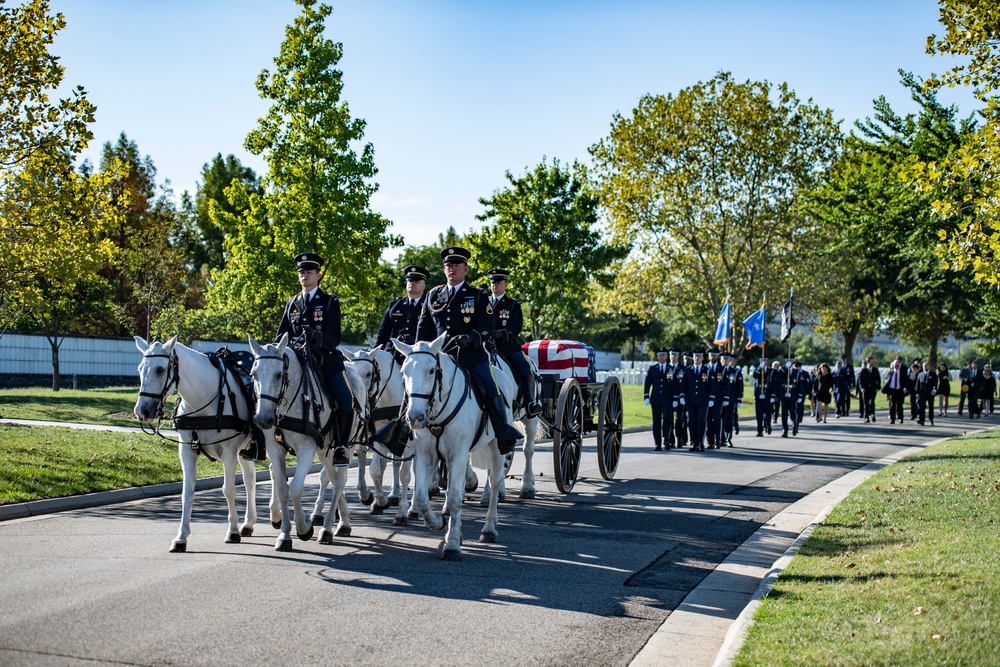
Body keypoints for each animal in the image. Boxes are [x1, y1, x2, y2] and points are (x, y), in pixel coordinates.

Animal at [133, 340, 258, 552]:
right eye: (140, 369)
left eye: (160, 369)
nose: (142, 411)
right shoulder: (186, 452)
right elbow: (187, 493)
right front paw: (181, 537)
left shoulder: (229, 453)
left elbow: (229, 490)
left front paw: (232, 531)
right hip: (245, 450)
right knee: (250, 479)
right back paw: (249, 523)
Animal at [249, 334, 366, 552]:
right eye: (253, 374)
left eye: (279, 374)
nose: (263, 419)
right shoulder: (276, 449)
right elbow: (282, 489)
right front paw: (285, 535)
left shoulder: (307, 448)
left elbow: (295, 489)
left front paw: (304, 528)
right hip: (325, 450)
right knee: (332, 477)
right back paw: (344, 523)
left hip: (345, 447)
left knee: (340, 481)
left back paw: (327, 529)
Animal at [390, 332, 516, 560]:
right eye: (404, 372)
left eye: (431, 370)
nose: (415, 417)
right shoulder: (427, 456)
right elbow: (421, 498)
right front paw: (438, 523)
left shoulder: (457, 455)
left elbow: (456, 499)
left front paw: (452, 545)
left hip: (496, 447)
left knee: (494, 483)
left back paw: (489, 529)